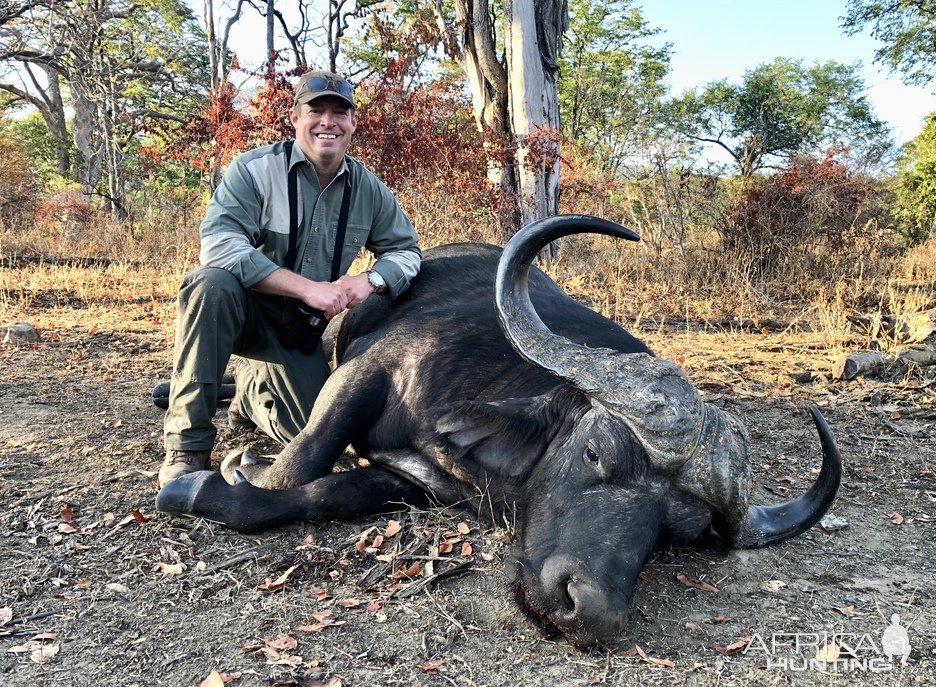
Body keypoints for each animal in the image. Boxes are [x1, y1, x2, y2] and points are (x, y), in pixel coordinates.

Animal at [157, 215, 844, 652]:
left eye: (682, 531)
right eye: (594, 452)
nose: (590, 610)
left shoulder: (412, 481)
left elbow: (325, 494)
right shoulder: (366, 372)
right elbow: (304, 460)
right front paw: (214, 477)